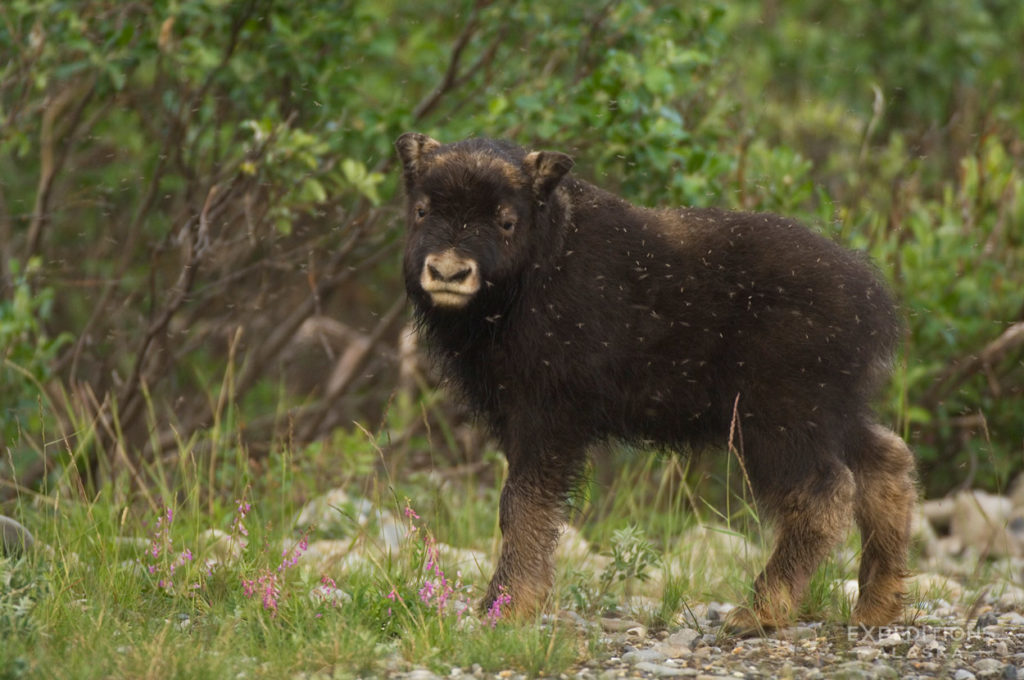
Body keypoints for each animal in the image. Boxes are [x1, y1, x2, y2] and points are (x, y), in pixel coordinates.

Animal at [395, 134, 917, 639]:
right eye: (421, 209)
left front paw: (504, 610)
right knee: (885, 462)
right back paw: (874, 607)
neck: (541, 260)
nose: (447, 272)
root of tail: (870, 299)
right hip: (830, 415)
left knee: (824, 495)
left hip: (778, 422)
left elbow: (521, 506)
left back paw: (757, 612)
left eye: (506, 219)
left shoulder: (546, 420)